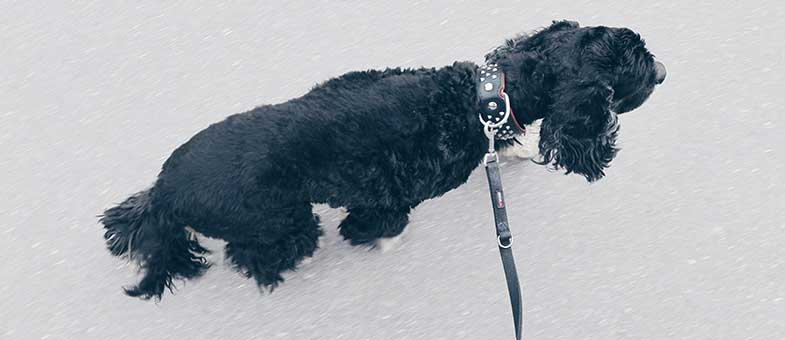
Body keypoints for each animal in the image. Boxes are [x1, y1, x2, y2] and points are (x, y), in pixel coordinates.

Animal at [99, 19, 660, 298]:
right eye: (636, 68)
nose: (665, 73)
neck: (486, 95)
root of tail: (166, 194)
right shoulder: (391, 195)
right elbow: (376, 223)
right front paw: (378, 241)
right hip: (283, 220)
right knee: (257, 255)